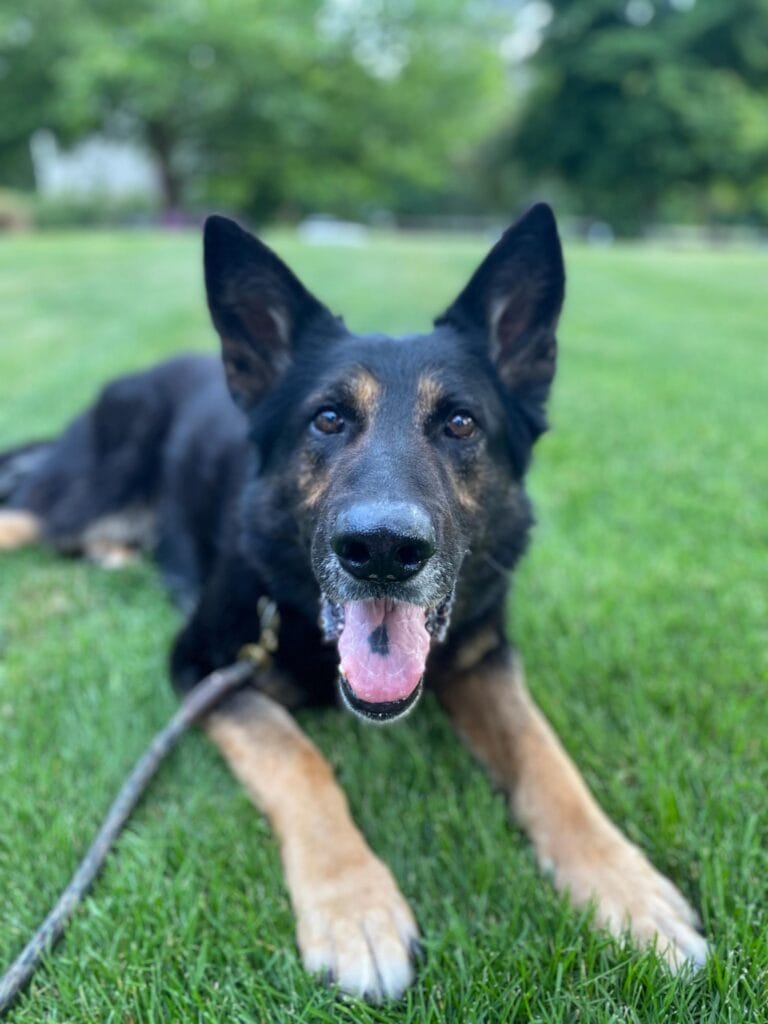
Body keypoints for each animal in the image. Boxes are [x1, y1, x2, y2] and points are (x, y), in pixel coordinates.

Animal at [0, 205, 707, 1000]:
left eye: (460, 423)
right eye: (328, 419)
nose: (382, 552)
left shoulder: (484, 660)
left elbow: (547, 760)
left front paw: (626, 887)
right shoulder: (204, 666)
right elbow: (296, 757)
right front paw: (354, 907)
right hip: (87, 494)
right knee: (22, 517)